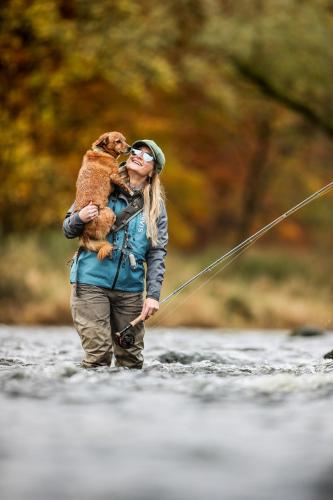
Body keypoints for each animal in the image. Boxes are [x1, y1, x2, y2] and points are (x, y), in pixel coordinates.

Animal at [75, 131, 132, 260]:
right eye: (118, 141)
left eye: (125, 140)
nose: (130, 148)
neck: (103, 152)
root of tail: (84, 234)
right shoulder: (114, 175)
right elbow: (123, 183)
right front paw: (130, 190)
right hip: (109, 212)